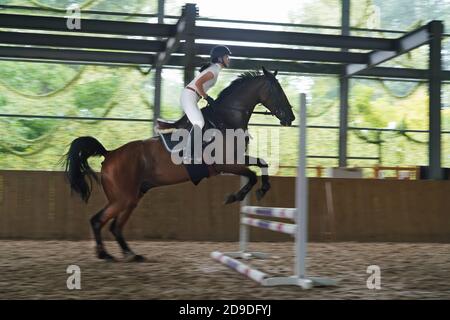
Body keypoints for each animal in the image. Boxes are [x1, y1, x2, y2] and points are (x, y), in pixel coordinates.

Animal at [63, 66, 296, 262]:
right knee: (98, 221)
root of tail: (109, 155)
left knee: (115, 226)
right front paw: (234, 197)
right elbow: (252, 175)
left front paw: (263, 189)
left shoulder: (236, 159)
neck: (226, 120)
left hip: (132, 197)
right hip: (122, 198)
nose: (291, 118)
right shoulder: (225, 164)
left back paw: (131, 254)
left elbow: (262, 164)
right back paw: (104, 254)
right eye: (277, 91)